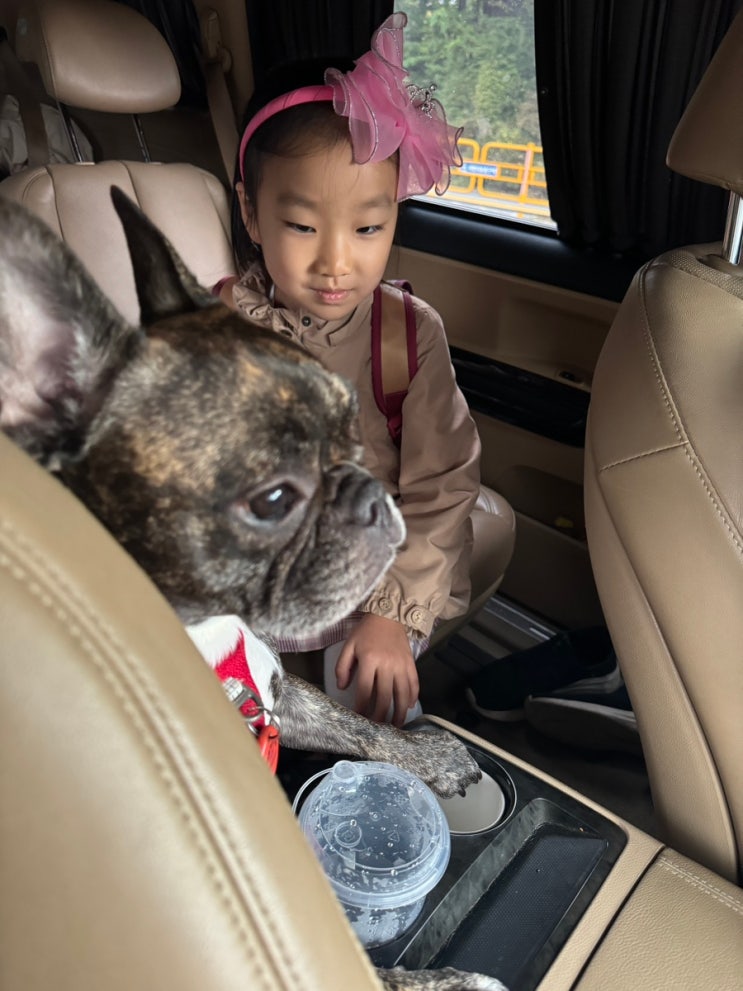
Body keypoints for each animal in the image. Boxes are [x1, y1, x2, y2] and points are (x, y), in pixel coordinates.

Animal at [0, 190, 506, 991]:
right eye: (272, 500)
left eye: (350, 425)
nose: (369, 492)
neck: (204, 633)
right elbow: (363, 970)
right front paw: (451, 982)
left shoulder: (280, 692)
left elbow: (357, 725)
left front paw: (431, 757)